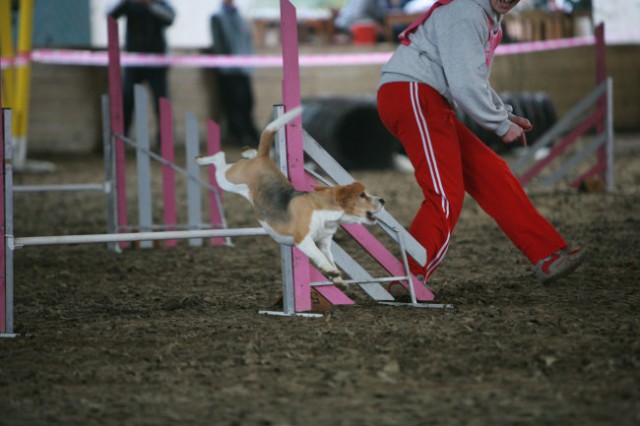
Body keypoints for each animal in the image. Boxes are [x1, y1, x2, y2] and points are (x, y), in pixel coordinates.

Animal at [196, 106, 384, 286]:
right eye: (362, 195)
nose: (382, 200)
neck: (326, 212)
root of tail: (263, 158)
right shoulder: (304, 241)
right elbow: (320, 257)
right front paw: (331, 271)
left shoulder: (324, 244)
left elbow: (329, 258)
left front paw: (338, 280)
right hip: (227, 179)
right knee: (220, 158)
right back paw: (202, 160)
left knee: (243, 155)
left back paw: (249, 152)